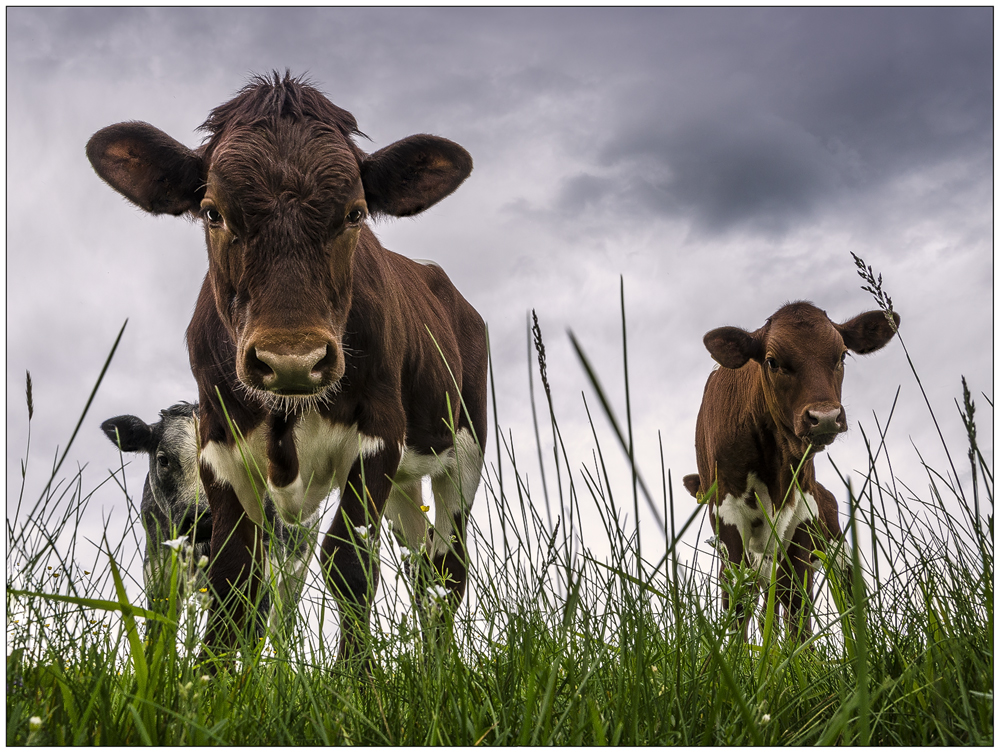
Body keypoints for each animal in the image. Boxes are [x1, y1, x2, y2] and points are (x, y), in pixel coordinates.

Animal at [684, 300, 904, 636]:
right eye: (772, 361)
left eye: (842, 355)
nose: (825, 417)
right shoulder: (727, 517)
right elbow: (739, 604)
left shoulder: (802, 517)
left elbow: (797, 607)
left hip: (835, 551)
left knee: (844, 601)